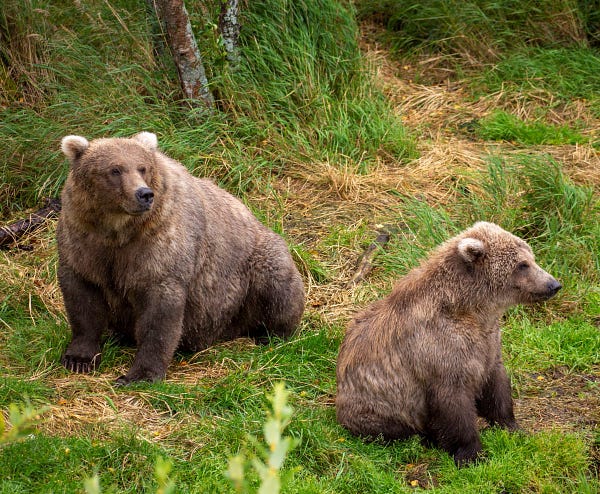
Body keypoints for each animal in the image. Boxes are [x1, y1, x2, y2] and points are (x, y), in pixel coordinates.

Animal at [57, 132, 304, 386]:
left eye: (142, 167)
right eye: (115, 170)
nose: (144, 194)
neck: (118, 231)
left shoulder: (159, 246)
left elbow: (159, 314)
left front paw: (139, 375)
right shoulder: (85, 243)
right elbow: (83, 301)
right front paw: (78, 358)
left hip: (254, 266)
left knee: (277, 287)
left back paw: (271, 334)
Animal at [336, 222, 560, 466]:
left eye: (532, 258)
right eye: (522, 264)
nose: (554, 284)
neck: (471, 309)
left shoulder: (488, 343)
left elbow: (496, 386)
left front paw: (513, 427)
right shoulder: (440, 350)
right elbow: (453, 405)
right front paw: (471, 454)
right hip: (374, 406)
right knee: (393, 427)